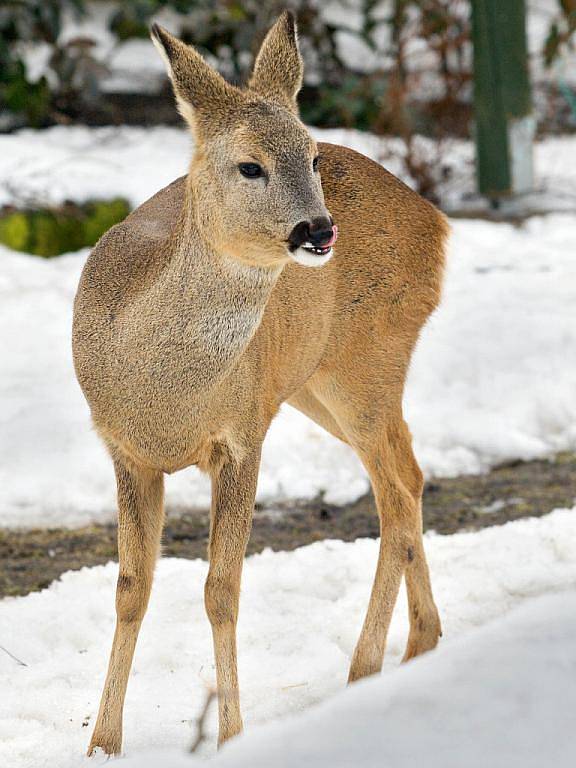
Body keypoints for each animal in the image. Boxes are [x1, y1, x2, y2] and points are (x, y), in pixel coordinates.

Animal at [72, 10, 448, 756]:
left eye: (311, 157)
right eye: (250, 165)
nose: (319, 228)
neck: (165, 392)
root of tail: (439, 222)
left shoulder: (243, 435)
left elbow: (222, 590)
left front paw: (230, 736)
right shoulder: (123, 447)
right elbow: (131, 586)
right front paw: (101, 743)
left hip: (369, 359)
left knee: (395, 493)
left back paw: (368, 664)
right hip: (315, 386)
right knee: (408, 475)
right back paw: (421, 643)